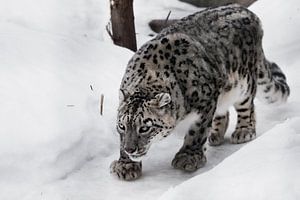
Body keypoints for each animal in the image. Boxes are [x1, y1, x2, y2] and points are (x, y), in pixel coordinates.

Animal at [109, 3, 288, 180]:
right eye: (122, 126)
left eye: (145, 128)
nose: (130, 149)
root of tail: (248, 12)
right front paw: (125, 165)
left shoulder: (206, 101)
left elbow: (197, 131)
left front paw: (188, 157)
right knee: (223, 111)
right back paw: (216, 135)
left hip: (244, 82)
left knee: (247, 106)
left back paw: (244, 131)